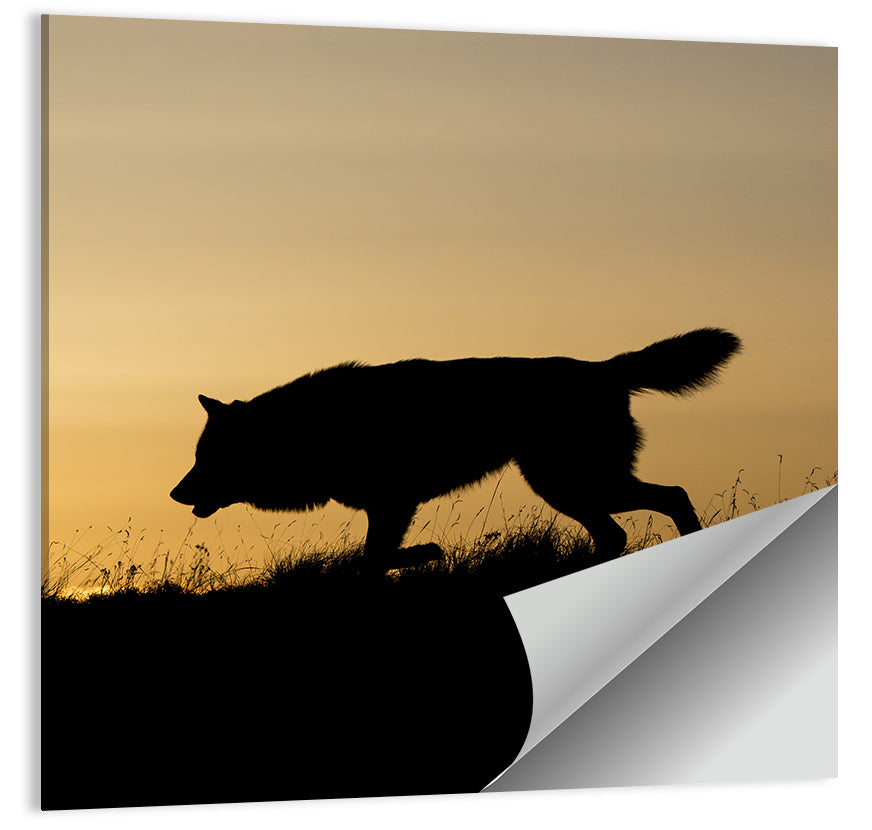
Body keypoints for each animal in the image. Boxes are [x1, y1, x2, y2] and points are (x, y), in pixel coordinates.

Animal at [171, 328, 741, 571]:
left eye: (206, 458)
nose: (175, 494)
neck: (308, 431)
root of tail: (604, 368)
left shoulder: (392, 503)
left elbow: (374, 559)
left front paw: (425, 555)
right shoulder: (389, 506)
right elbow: (373, 560)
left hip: (570, 482)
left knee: (668, 497)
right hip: (569, 487)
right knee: (622, 528)